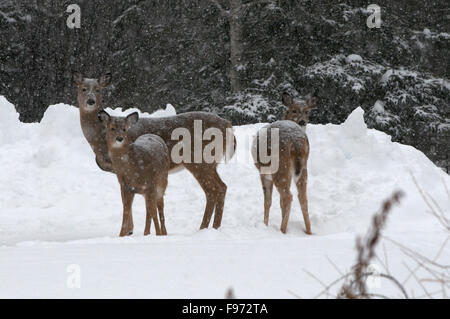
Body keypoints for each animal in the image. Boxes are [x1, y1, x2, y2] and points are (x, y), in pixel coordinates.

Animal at [98, 110, 169, 238]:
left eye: (125, 129)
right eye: (112, 128)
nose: (119, 138)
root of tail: (155, 136)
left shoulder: (150, 183)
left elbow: (153, 211)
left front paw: (158, 235)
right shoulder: (125, 187)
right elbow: (126, 210)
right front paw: (122, 235)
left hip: (162, 182)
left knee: (159, 207)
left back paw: (163, 233)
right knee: (148, 209)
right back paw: (146, 233)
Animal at [251, 92, 318, 235]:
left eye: (307, 111)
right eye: (294, 110)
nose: (302, 121)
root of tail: (296, 141)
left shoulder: (264, 174)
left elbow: (268, 201)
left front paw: (265, 225)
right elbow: (279, 202)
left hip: (279, 167)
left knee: (288, 196)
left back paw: (282, 230)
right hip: (302, 167)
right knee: (302, 197)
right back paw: (309, 231)